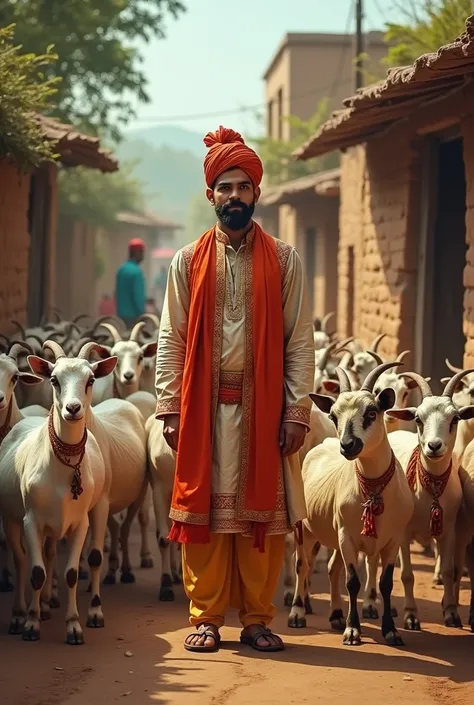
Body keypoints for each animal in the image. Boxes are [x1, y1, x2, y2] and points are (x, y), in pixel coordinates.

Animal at [0, 340, 115, 644]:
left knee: (53, 554)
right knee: (21, 560)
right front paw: (30, 624)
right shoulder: (31, 521)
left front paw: (74, 626)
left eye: (91, 379)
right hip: (11, 519)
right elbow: (36, 572)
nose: (73, 409)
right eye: (54, 379)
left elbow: (72, 573)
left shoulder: (79, 523)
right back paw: (21, 613)